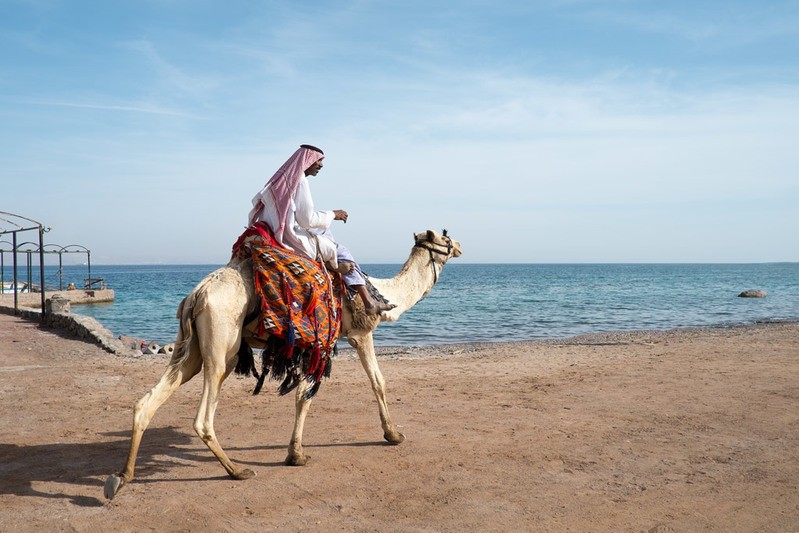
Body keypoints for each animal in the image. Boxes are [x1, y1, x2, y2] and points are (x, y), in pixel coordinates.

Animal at [104, 229, 462, 498]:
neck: (385, 295)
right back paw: (237, 471)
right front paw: (392, 435)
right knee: (203, 417)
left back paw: (121, 477)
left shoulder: (313, 345)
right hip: (223, 346)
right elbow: (375, 382)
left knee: (148, 401)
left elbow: (303, 396)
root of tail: (197, 295)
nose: (459, 246)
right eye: (445, 237)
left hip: (188, 347)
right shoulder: (358, 334)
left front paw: (295, 453)